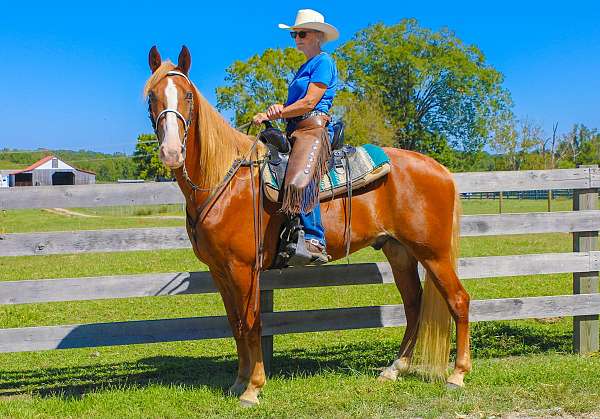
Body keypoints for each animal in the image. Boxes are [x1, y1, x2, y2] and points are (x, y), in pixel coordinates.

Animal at [144, 46, 468, 406]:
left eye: (188, 96)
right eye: (152, 97)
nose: (172, 151)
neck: (226, 179)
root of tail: (439, 169)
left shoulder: (244, 268)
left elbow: (251, 324)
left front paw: (253, 387)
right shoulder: (220, 270)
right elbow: (235, 324)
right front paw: (238, 382)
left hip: (434, 253)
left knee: (459, 301)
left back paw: (457, 375)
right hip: (399, 252)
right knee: (413, 305)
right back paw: (393, 369)